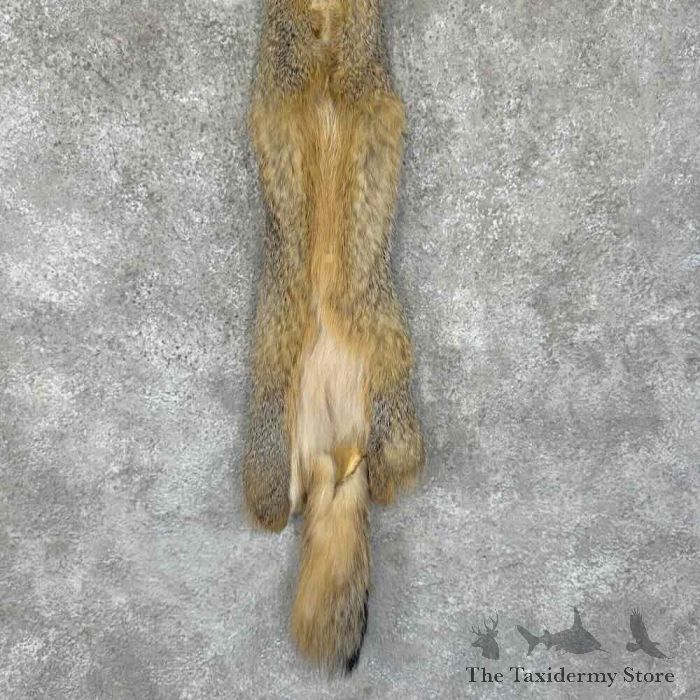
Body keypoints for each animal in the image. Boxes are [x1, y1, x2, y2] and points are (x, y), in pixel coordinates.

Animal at [242, 0, 425, 674]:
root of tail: (337, 450)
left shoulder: (363, 62)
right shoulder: (284, 60)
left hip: (393, 422)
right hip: (274, 460)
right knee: (283, 511)